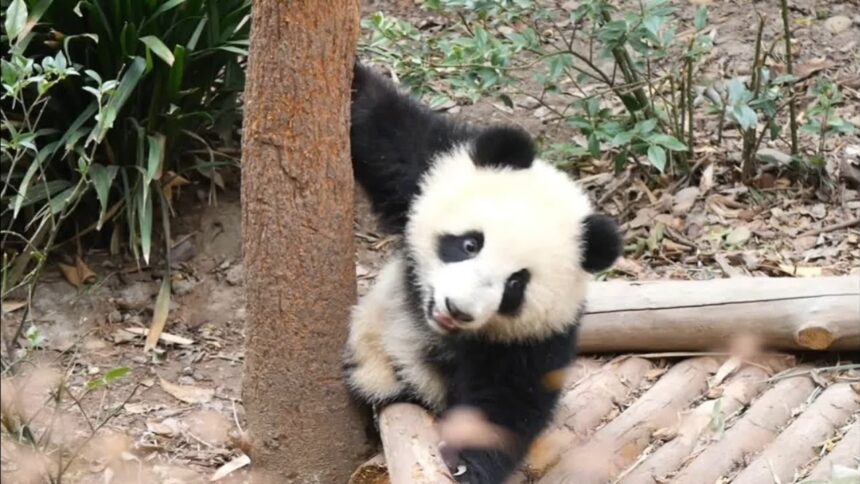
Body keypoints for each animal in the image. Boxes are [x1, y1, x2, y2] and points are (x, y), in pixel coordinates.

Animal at [343, 61, 622, 484]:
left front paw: (465, 465)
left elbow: (508, 402)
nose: (457, 309)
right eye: (470, 244)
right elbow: (384, 126)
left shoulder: (535, 340)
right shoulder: (428, 166)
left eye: (516, 284)